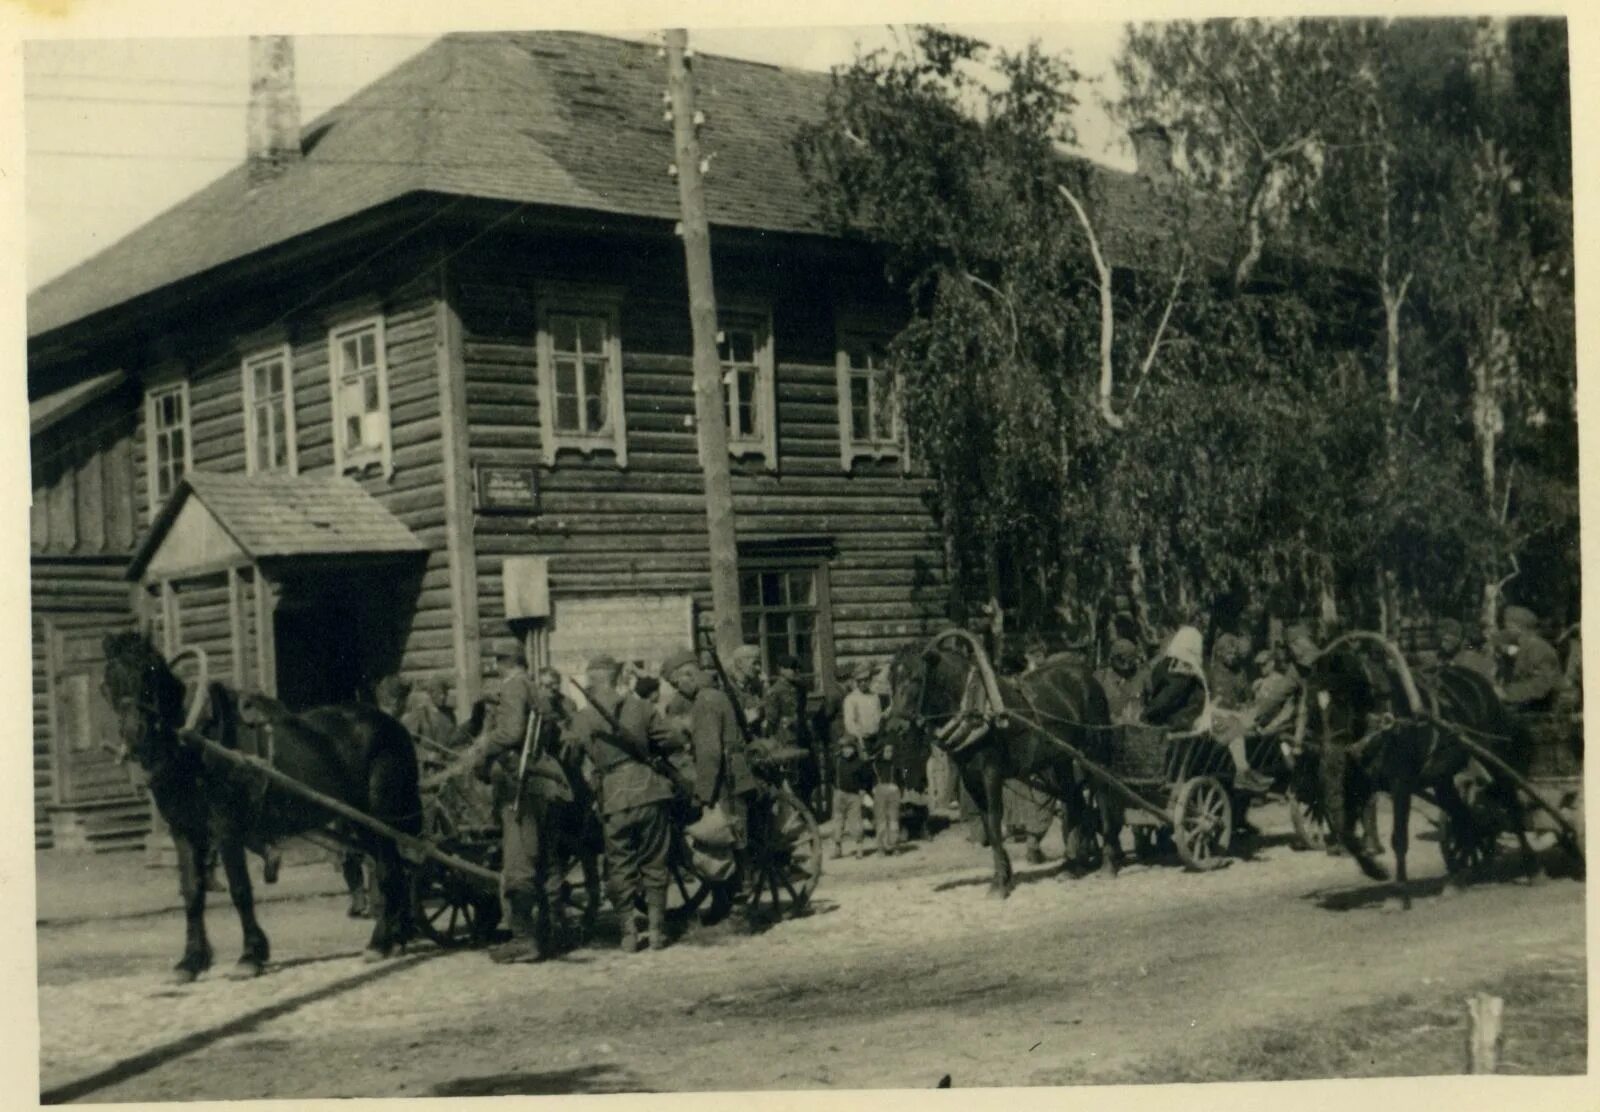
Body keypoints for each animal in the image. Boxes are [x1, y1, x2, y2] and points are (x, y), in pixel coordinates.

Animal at [102, 633, 422, 985]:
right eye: (107, 683)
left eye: (150, 673)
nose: (135, 736)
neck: (194, 744)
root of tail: (392, 725)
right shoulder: (184, 832)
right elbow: (192, 892)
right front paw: (190, 961)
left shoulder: (226, 829)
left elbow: (241, 890)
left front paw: (250, 956)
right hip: (360, 823)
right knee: (394, 869)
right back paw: (398, 935)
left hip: (381, 816)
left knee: (390, 870)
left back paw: (380, 942)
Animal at [883, 630, 1120, 902]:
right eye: (892, 679)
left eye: (917, 678)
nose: (895, 727)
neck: (974, 706)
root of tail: (1088, 676)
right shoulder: (970, 777)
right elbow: (988, 823)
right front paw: (1004, 875)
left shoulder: (991, 773)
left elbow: (996, 823)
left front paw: (999, 885)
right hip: (1061, 759)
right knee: (1074, 801)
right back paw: (1073, 865)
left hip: (1093, 752)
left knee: (1102, 797)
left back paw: (1109, 863)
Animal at [1305, 633, 1542, 915]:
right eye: (1312, 706)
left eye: (1342, 699)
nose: (1330, 749)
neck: (1381, 718)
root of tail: (1480, 683)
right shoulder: (1360, 785)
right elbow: (1345, 832)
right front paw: (1375, 870)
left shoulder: (1401, 784)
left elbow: (1398, 838)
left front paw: (1399, 894)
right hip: (1443, 777)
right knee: (1462, 815)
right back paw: (1458, 877)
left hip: (1492, 754)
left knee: (1511, 802)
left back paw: (1532, 867)